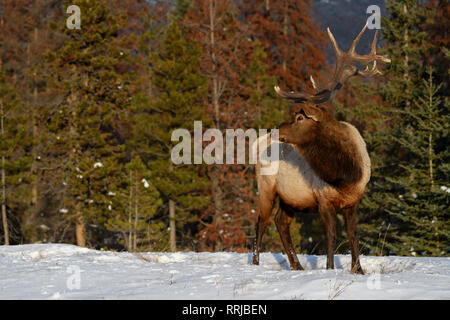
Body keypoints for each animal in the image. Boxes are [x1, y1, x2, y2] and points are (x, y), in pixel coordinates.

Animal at [253, 23, 390, 272]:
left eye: (300, 117)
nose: (277, 129)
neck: (345, 175)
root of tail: (257, 143)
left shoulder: (354, 200)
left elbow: (353, 235)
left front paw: (358, 270)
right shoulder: (324, 199)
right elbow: (331, 236)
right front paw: (330, 268)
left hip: (290, 197)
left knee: (280, 221)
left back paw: (296, 265)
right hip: (266, 185)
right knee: (261, 220)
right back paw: (256, 262)